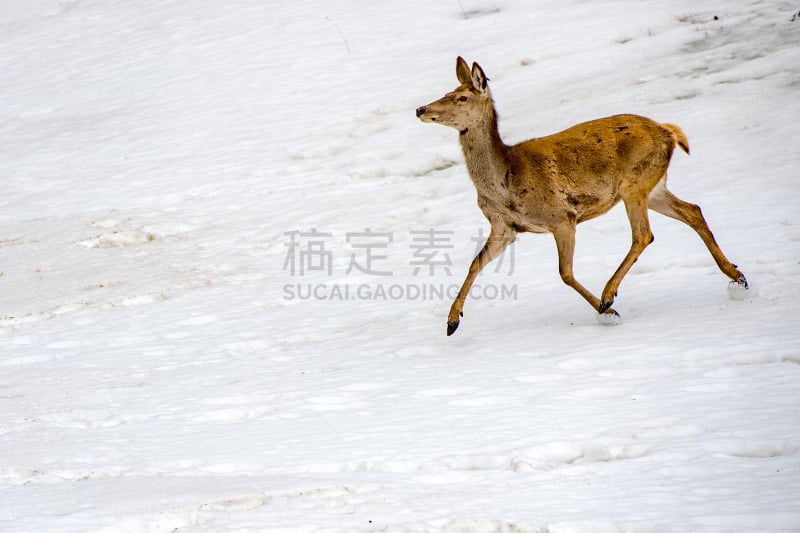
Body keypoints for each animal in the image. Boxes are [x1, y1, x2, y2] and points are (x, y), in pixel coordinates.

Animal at [416, 56, 748, 334]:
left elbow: (564, 272)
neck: (505, 181)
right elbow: (475, 263)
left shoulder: (562, 217)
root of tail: (669, 132)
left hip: (634, 182)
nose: (421, 109)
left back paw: (607, 295)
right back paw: (737, 275)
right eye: (447, 91)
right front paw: (452, 320)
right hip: (653, 186)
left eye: (462, 97)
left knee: (644, 234)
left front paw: (607, 312)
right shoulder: (504, 227)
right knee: (693, 210)